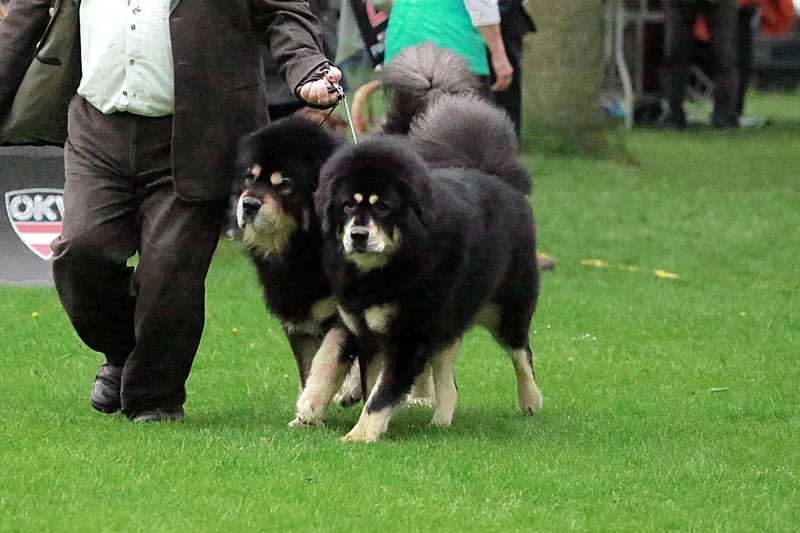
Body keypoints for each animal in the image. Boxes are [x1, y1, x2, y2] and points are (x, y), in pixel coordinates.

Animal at [294, 93, 542, 441]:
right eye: (347, 206)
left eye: (384, 207)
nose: (358, 235)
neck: (383, 270)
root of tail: (496, 176)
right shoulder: (362, 329)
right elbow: (354, 373)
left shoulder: (409, 338)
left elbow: (382, 391)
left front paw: (361, 435)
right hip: (449, 323)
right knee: (449, 378)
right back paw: (441, 421)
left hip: (507, 311)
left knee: (522, 354)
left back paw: (531, 400)